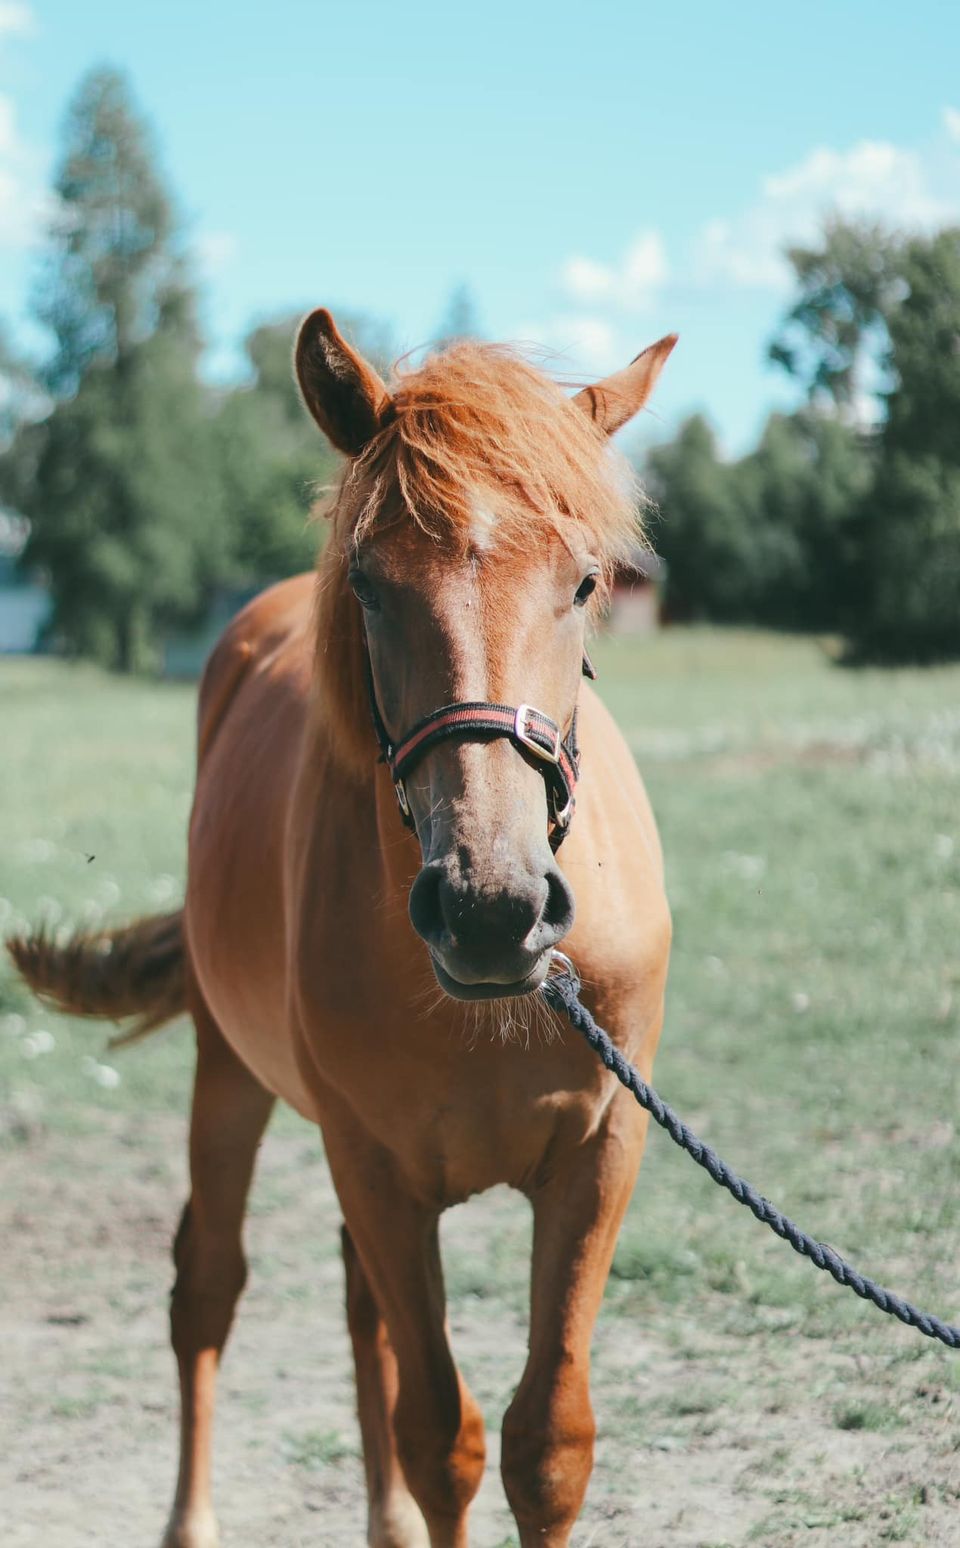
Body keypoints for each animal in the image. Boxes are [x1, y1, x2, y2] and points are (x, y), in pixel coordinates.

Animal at [11, 308, 678, 1541]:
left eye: (583, 582)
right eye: (369, 585)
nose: (490, 910)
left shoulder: (602, 1153)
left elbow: (548, 1443)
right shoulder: (375, 1168)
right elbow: (444, 1439)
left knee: (357, 1312)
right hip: (228, 1072)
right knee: (208, 1287)